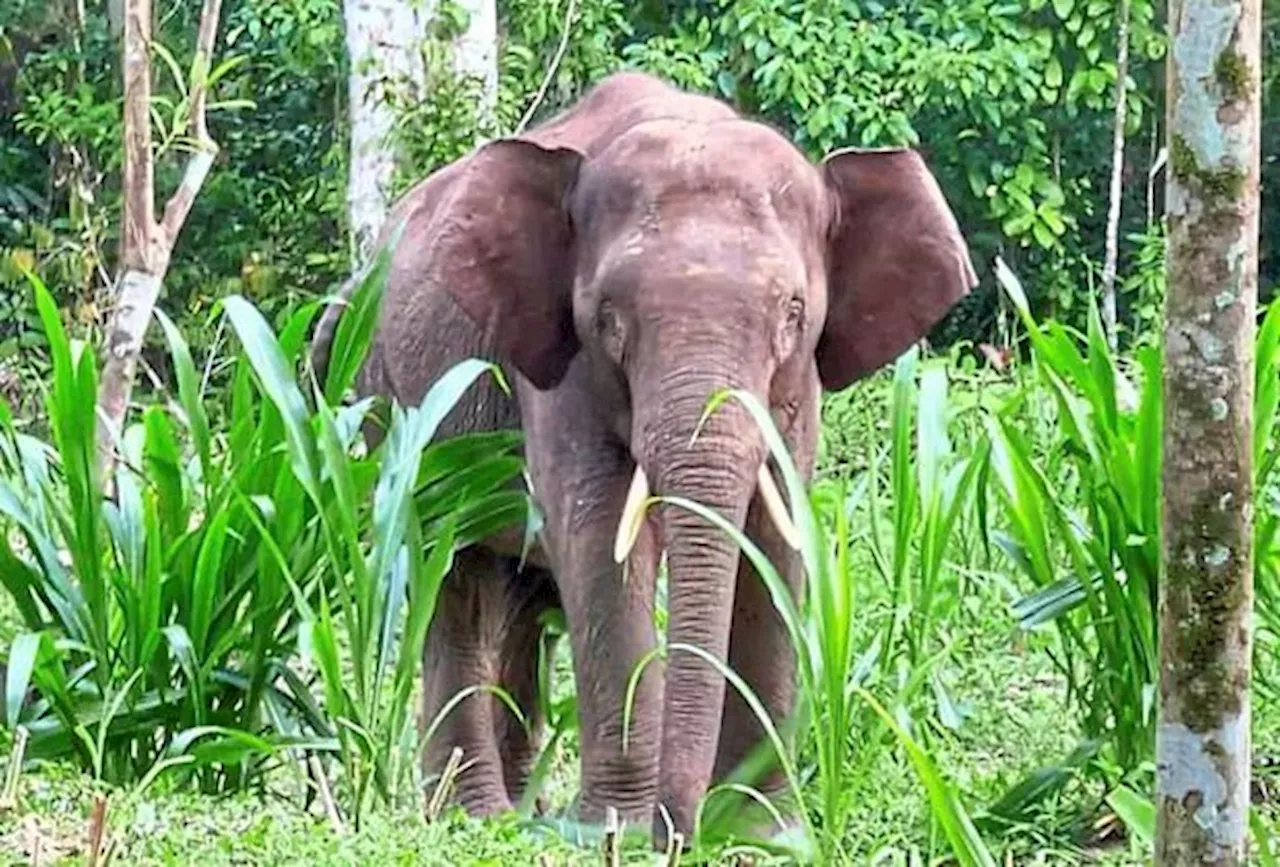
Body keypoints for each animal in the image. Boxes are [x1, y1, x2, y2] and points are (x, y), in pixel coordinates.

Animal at [312, 71, 977, 840]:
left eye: (792, 313)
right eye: (608, 319)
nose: (678, 831)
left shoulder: (796, 390)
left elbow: (775, 540)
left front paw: (761, 834)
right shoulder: (558, 366)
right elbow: (598, 535)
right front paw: (617, 831)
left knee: (521, 594)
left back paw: (525, 813)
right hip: (391, 409)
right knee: (452, 577)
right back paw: (475, 818)